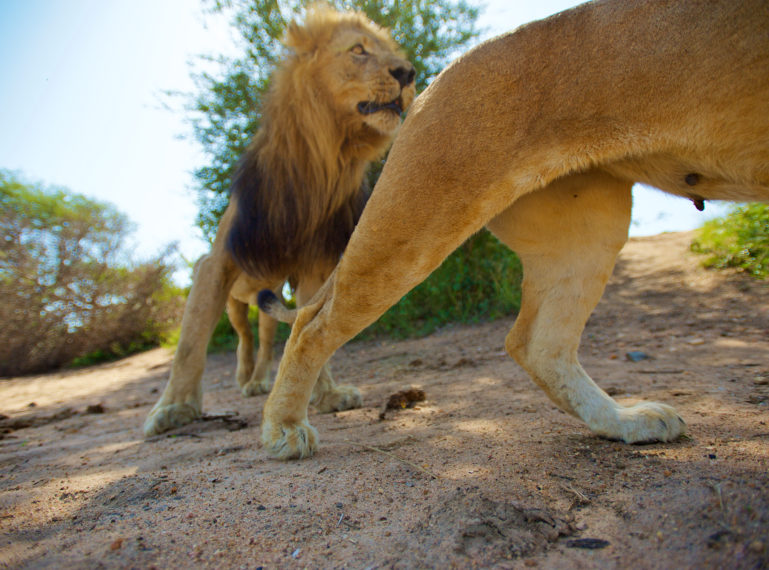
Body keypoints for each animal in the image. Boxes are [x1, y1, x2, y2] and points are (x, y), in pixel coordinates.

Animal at [143, 5, 414, 434]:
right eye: (358, 50)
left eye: (391, 53)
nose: (408, 73)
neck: (321, 165)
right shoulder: (214, 263)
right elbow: (190, 342)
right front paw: (173, 409)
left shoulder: (314, 267)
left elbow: (310, 323)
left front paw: (328, 394)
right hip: (236, 303)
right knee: (243, 337)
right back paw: (244, 379)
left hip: (267, 295)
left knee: (268, 337)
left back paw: (259, 380)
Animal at [258, 0, 768, 458]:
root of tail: (437, 78)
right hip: (421, 213)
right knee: (311, 321)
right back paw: (285, 430)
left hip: (587, 223)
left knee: (537, 345)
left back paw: (624, 422)